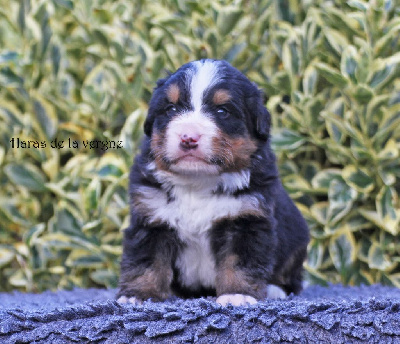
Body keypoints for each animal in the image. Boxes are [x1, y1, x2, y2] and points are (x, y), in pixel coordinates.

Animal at [115, 59, 310, 306]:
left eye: (222, 111)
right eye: (171, 109)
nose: (188, 137)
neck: (197, 182)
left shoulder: (247, 219)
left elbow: (239, 262)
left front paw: (238, 294)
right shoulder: (151, 217)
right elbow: (146, 261)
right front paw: (138, 295)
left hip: (297, 241)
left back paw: (275, 290)